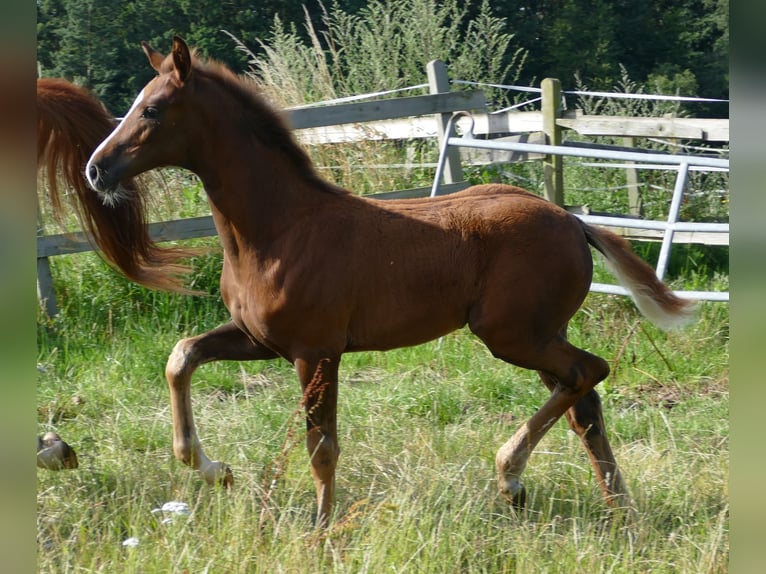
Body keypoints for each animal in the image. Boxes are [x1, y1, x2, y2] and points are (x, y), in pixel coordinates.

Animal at [85, 37, 696, 528]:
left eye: (153, 109)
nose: (96, 169)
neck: (278, 228)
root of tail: (572, 220)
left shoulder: (316, 351)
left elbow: (321, 447)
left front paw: (320, 531)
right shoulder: (258, 339)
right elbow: (182, 356)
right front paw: (214, 469)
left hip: (511, 334)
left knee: (589, 373)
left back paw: (512, 476)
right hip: (538, 334)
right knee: (583, 402)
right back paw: (617, 510)